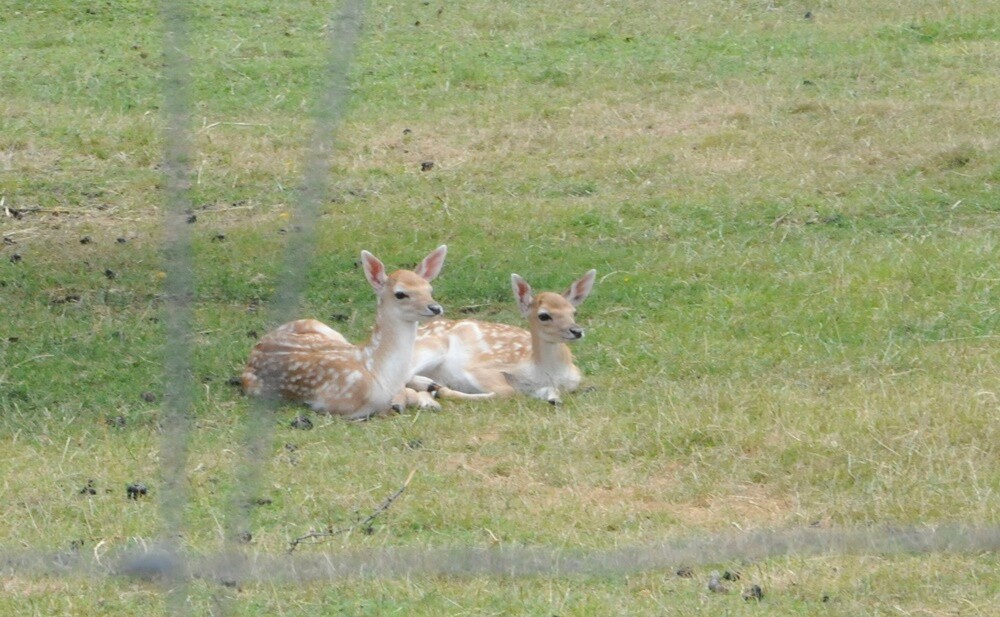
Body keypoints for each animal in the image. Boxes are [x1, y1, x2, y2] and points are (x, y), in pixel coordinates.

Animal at [241, 245, 458, 420]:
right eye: (400, 293)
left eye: (429, 289)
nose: (435, 308)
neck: (378, 370)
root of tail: (255, 350)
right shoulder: (335, 404)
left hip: (322, 327)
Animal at [407, 269, 597, 406]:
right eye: (544, 315)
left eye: (574, 312)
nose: (576, 331)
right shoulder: (482, 367)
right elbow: (508, 391)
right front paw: (442, 391)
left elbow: (550, 393)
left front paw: (554, 399)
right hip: (430, 347)